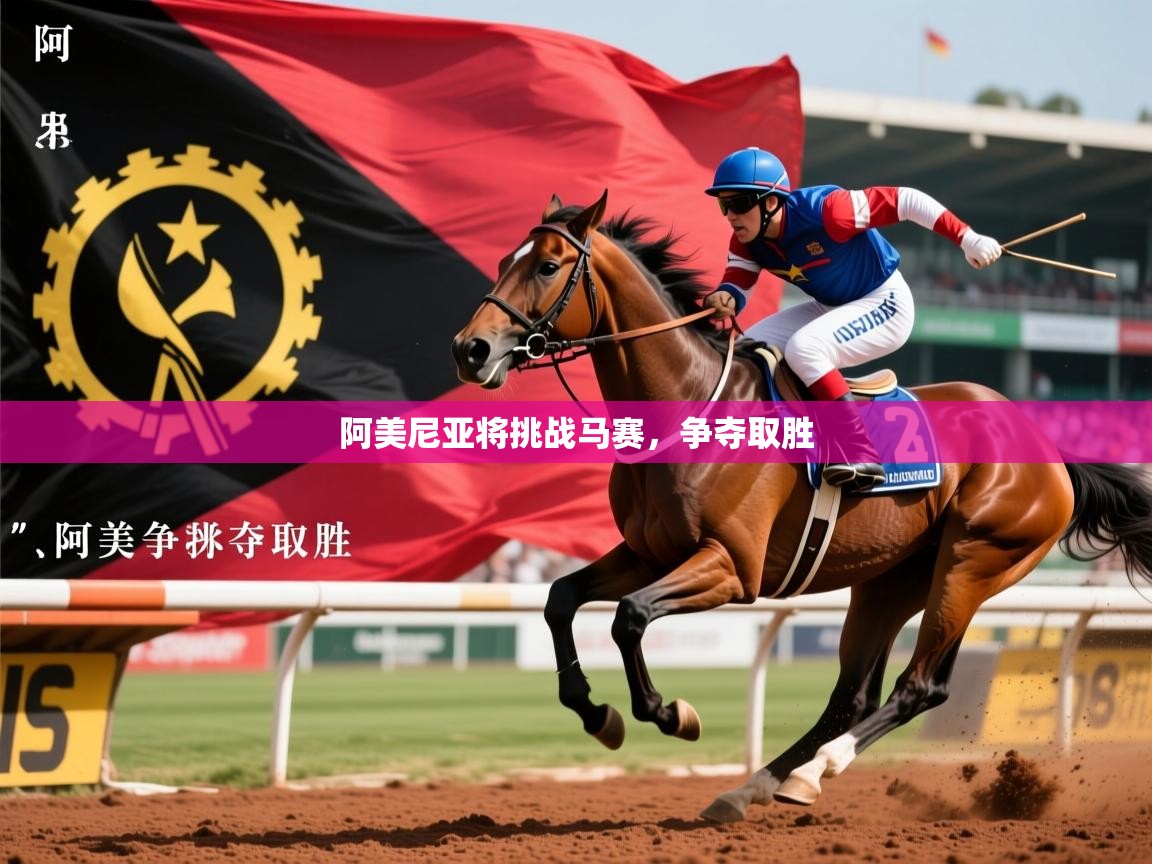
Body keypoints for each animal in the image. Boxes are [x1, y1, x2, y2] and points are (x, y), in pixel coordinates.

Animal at [450, 191, 1152, 822]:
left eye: (547, 266)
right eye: (504, 261)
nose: (470, 349)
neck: (691, 401)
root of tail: (1050, 449)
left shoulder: (732, 567)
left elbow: (629, 618)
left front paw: (672, 713)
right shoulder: (649, 552)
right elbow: (560, 598)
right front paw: (599, 714)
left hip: (972, 562)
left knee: (920, 685)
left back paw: (817, 771)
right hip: (892, 578)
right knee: (852, 696)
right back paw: (755, 787)